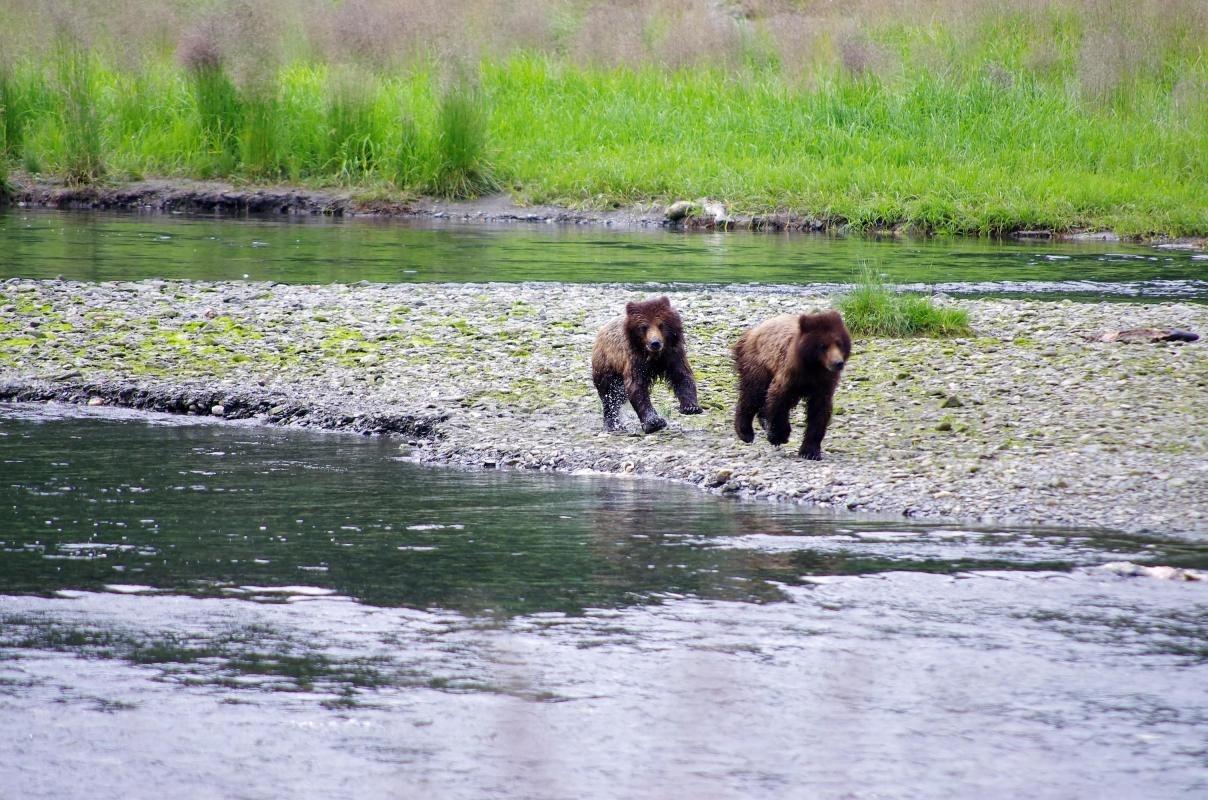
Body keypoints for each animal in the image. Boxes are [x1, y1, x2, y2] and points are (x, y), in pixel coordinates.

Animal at [591, 296, 705, 435]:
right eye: (643, 327)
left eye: (661, 324)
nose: (655, 343)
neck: (654, 357)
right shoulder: (635, 361)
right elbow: (637, 388)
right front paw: (653, 422)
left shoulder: (673, 356)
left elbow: (682, 376)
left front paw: (691, 407)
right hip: (607, 364)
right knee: (609, 394)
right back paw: (612, 424)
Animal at [729, 309, 855, 461]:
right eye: (823, 346)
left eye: (839, 343)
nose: (838, 363)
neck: (814, 367)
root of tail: (752, 331)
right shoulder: (790, 375)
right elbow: (778, 399)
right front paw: (779, 436)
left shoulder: (824, 383)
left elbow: (819, 412)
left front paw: (810, 451)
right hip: (758, 363)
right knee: (753, 393)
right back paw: (745, 432)